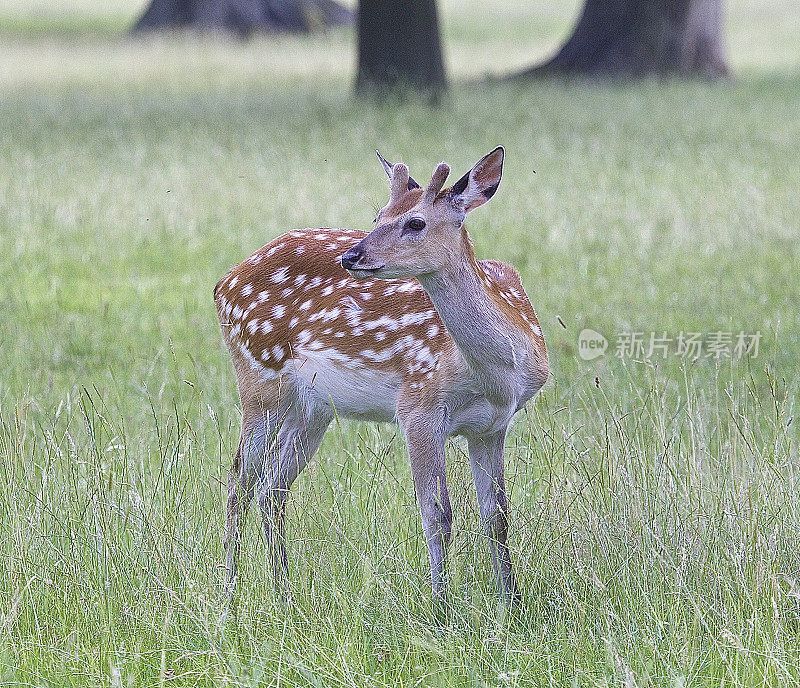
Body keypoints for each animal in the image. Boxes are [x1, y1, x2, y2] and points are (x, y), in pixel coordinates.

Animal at [216, 148, 548, 604]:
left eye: (415, 222)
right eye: (378, 216)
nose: (351, 257)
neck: (497, 374)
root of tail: (222, 284)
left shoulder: (492, 425)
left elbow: (496, 516)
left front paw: (510, 603)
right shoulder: (418, 405)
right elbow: (438, 514)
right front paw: (441, 606)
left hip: (312, 408)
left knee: (271, 489)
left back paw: (284, 590)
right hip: (258, 378)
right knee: (238, 485)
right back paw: (228, 594)